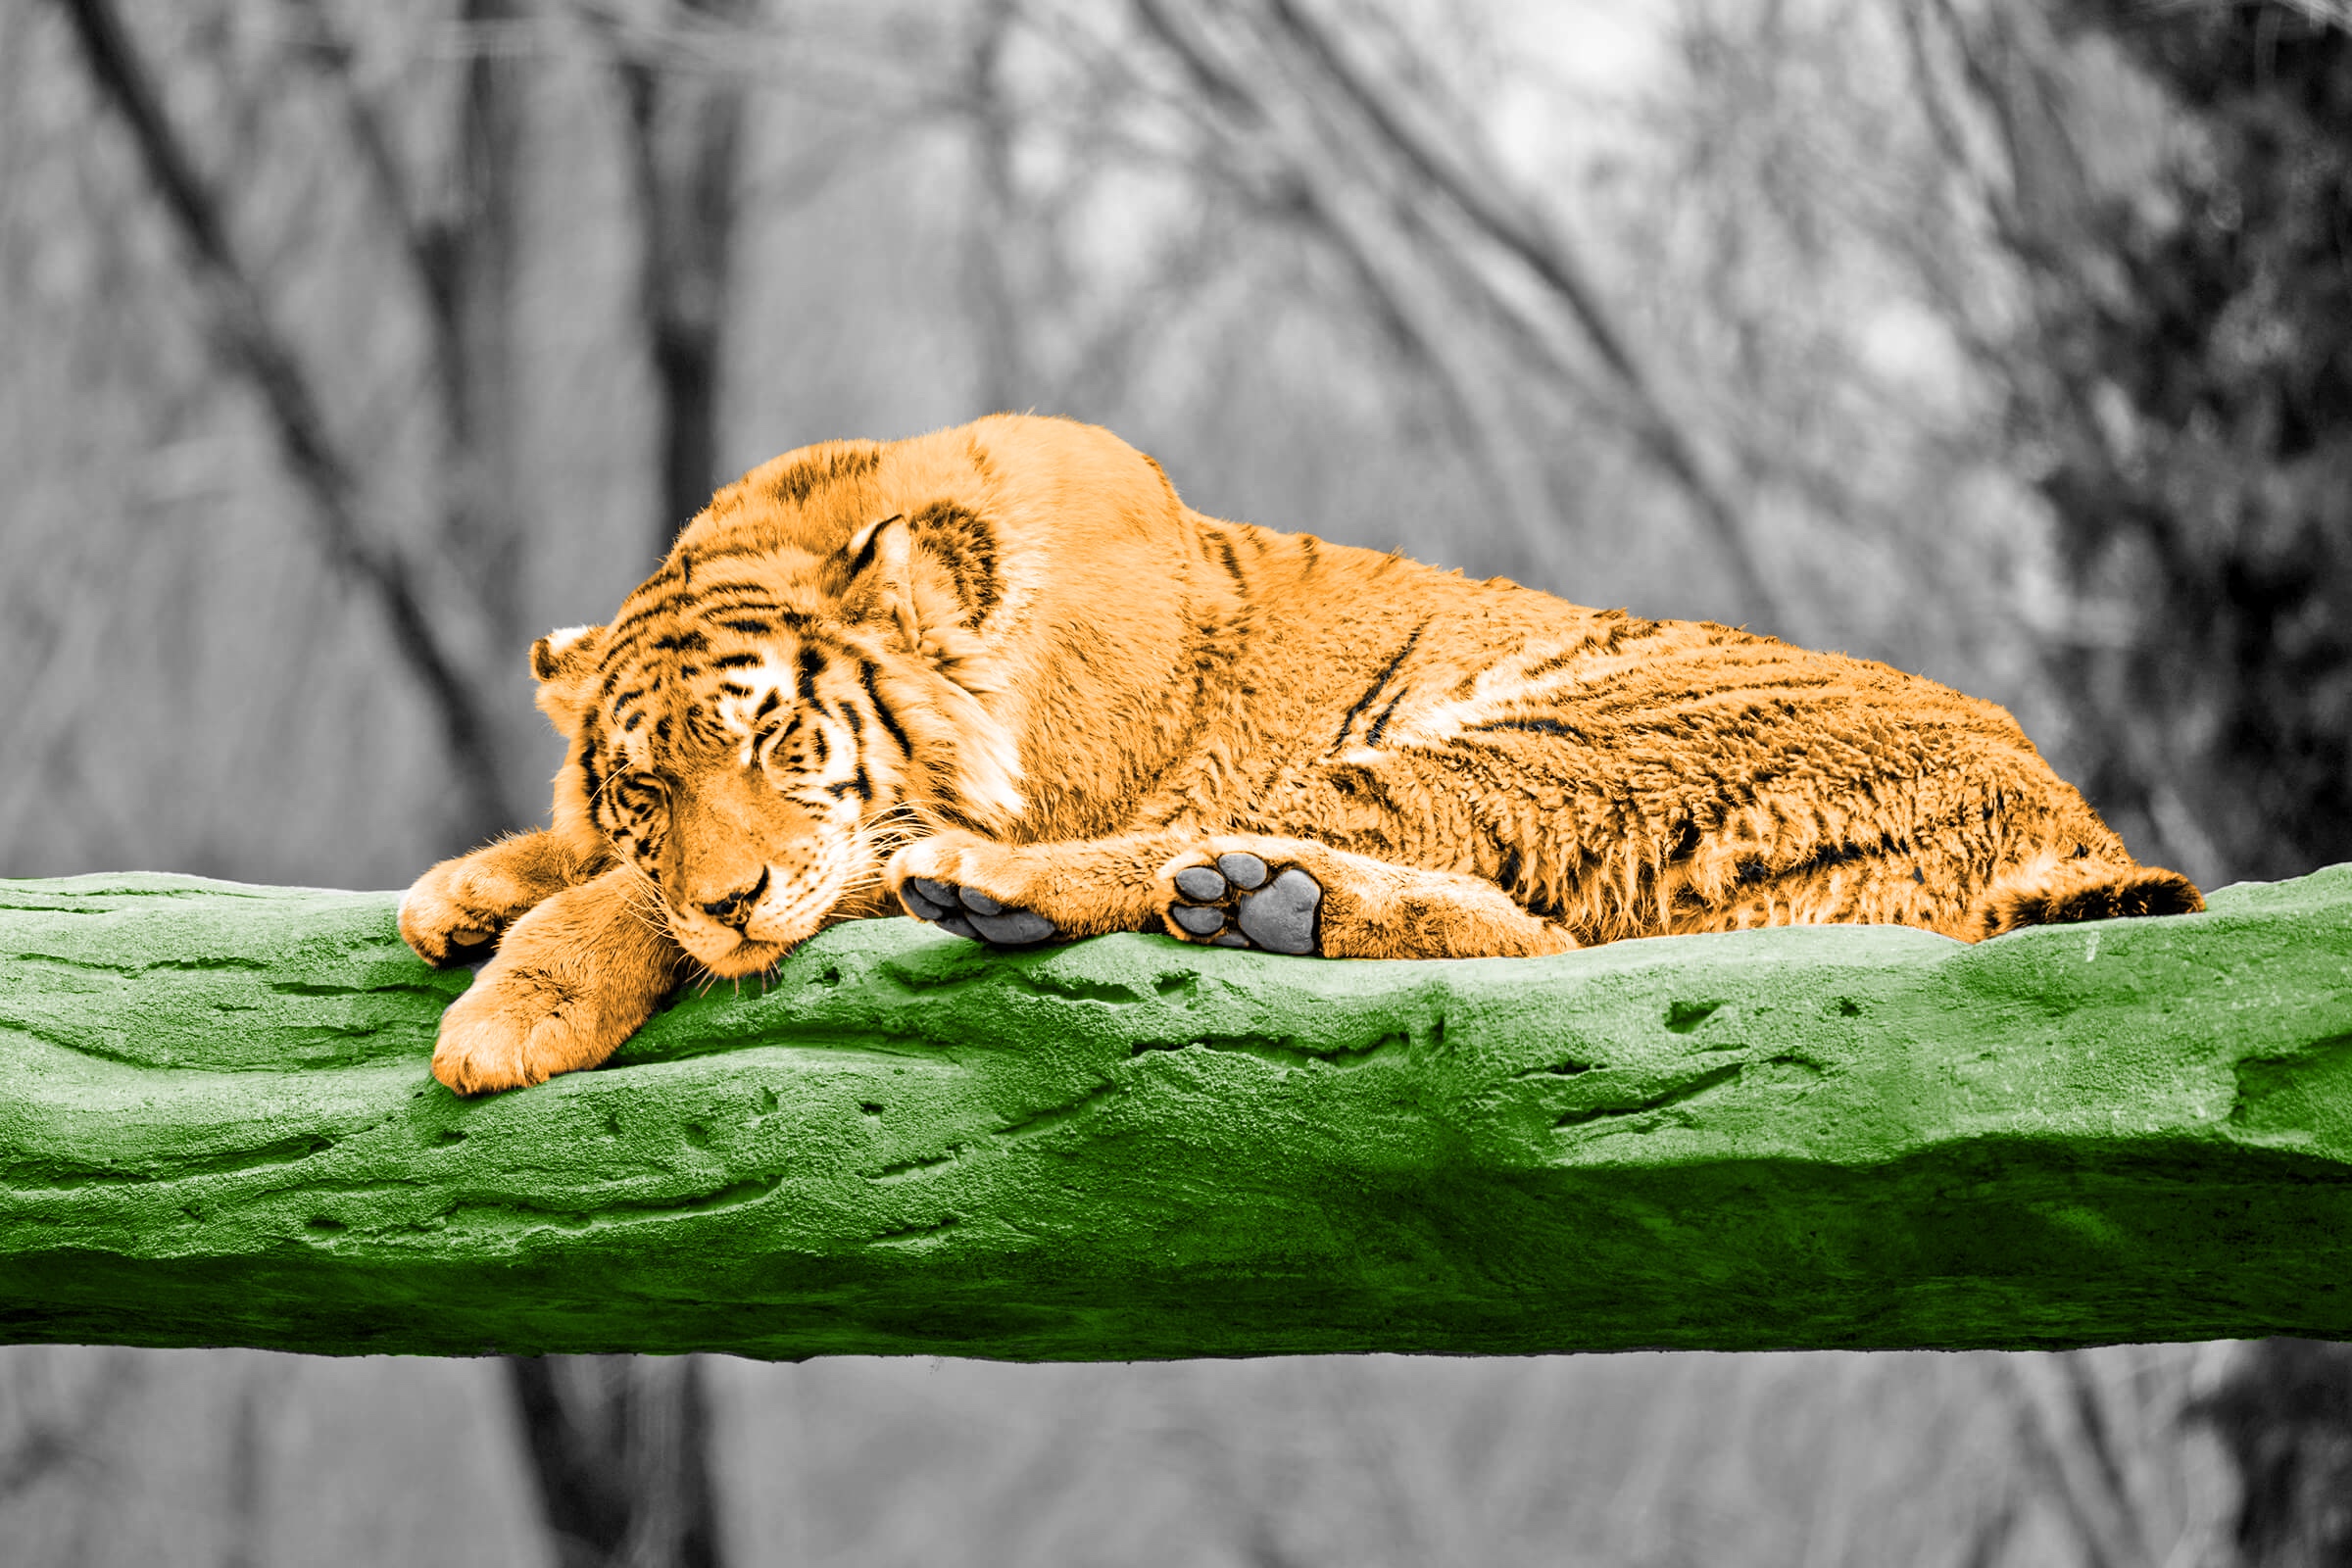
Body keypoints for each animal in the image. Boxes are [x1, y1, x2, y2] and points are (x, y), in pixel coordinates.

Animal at [399, 413, 2204, 1095]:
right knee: (1536, 945)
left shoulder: (868, 834)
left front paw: (509, 1012)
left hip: (1556, 726)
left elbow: (658, 907)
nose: (730, 892)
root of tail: (2066, 804)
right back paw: (1266, 902)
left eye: (777, 739)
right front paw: (466, 890)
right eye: (647, 786)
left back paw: (1038, 893)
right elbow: (583, 865)